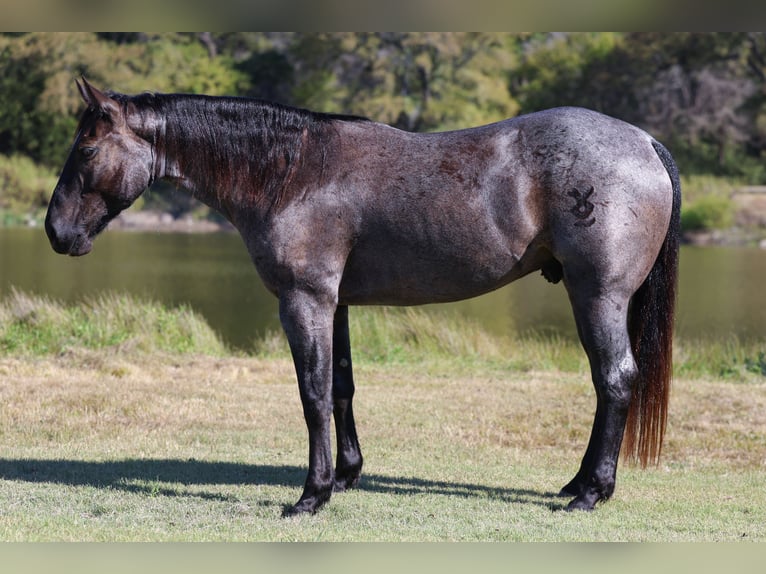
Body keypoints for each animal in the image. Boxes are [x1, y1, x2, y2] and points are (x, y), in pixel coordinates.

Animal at [45, 78, 680, 516]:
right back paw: (578, 483)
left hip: (597, 295)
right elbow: (342, 387)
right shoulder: (337, 303)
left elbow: (313, 393)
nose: (56, 232)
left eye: (86, 151)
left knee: (615, 379)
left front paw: (313, 494)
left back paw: (591, 492)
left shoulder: (304, 301)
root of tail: (645, 142)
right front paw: (347, 474)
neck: (293, 172)